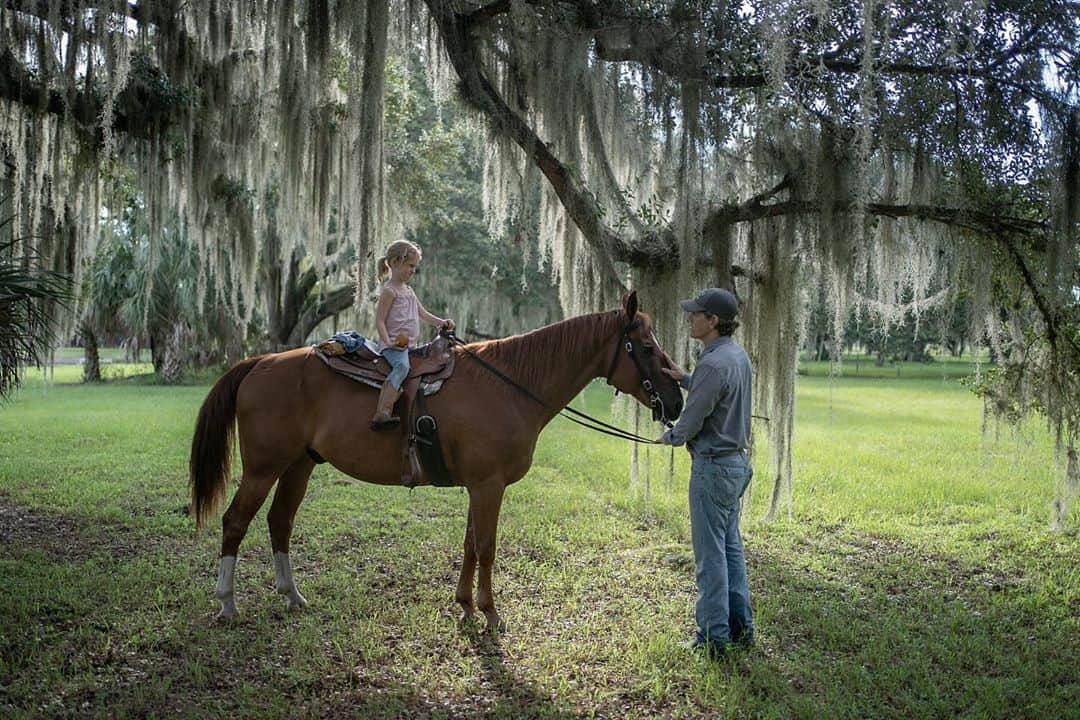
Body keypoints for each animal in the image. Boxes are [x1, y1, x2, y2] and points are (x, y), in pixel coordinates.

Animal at [191, 291, 682, 630]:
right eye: (646, 347)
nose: (677, 399)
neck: (509, 386)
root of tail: (260, 362)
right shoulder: (488, 486)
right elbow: (487, 547)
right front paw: (489, 614)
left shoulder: (478, 486)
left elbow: (469, 545)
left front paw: (464, 607)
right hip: (263, 469)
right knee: (235, 522)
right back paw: (226, 603)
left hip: (299, 465)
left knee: (280, 522)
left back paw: (291, 595)